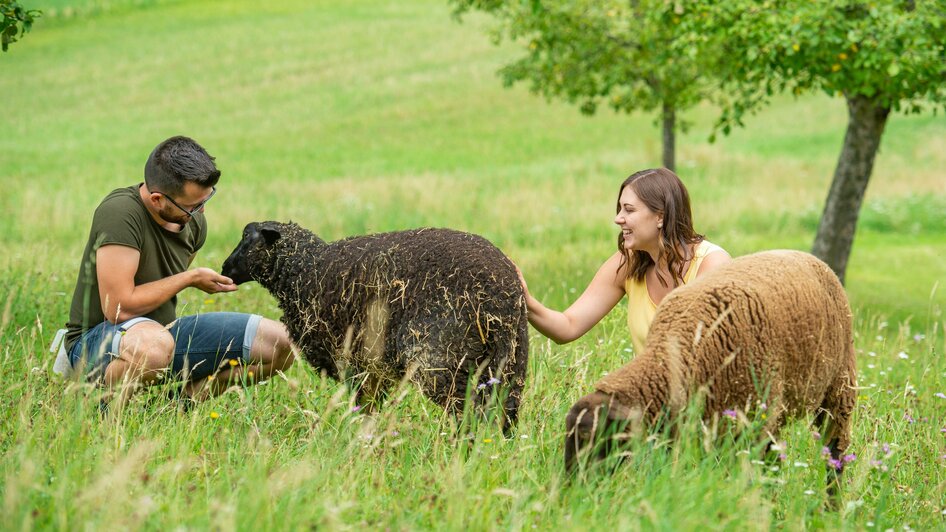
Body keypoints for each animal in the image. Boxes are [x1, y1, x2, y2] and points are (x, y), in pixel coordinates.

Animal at [223, 220, 532, 428]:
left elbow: (361, 406)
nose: (225, 268)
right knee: (504, 412)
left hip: (441, 360)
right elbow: (371, 407)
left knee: (468, 413)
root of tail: (504, 292)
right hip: (511, 360)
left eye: (247, 237)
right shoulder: (372, 368)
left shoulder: (351, 360)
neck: (308, 271)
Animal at [564, 249, 860, 474]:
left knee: (836, 452)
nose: (572, 486)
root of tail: (814, 259)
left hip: (838, 388)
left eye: (590, 437)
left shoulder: (750, 418)